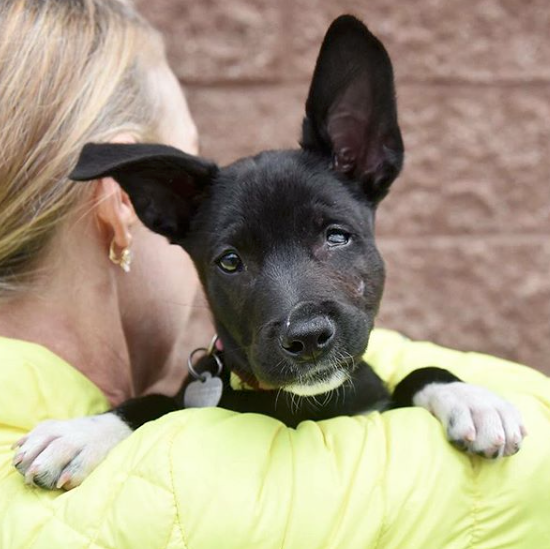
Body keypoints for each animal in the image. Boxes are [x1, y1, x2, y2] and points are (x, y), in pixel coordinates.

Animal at [12, 16, 528, 488]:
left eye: (336, 237)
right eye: (230, 261)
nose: (308, 338)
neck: (302, 403)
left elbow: (414, 373)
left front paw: (472, 399)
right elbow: (156, 403)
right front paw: (84, 430)